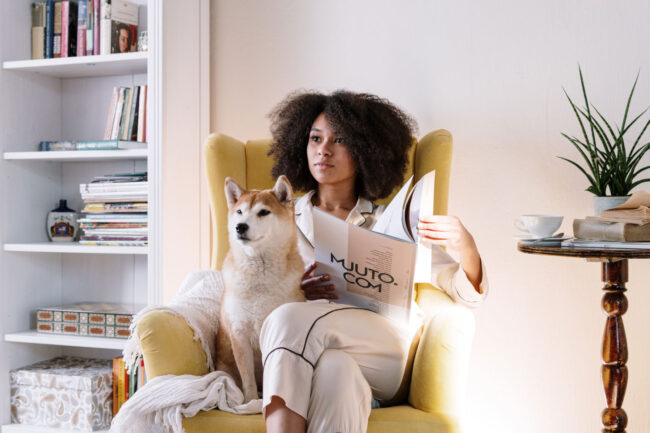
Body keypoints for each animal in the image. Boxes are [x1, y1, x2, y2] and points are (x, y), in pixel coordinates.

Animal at [216, 175, 306, 403]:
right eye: (240, 211)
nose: (240, 227)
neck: (260, 281)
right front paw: (250, 401)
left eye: (263, 212)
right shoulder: (239, 334)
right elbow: (247, 376)